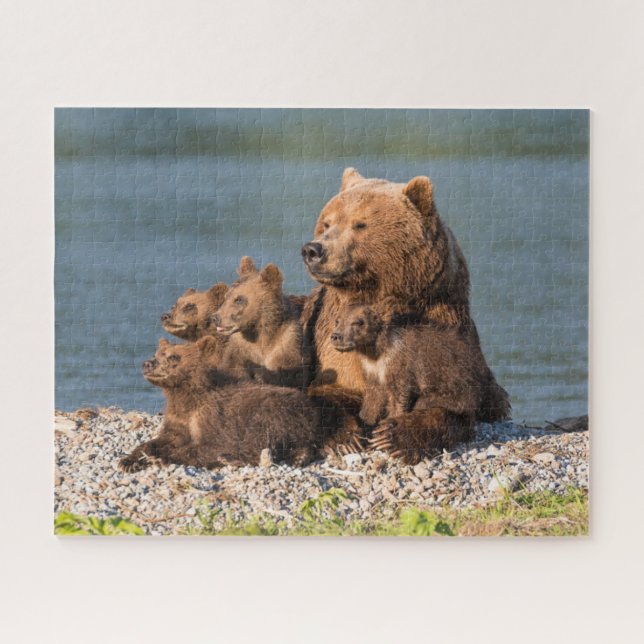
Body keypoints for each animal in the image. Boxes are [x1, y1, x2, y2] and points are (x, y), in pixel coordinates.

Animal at [118, 337, 319, 472]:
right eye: (157, 353)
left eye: (174, 357)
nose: (148, 363)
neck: (184, 395)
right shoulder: (178, 418)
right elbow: (163, 438)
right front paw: (129, 461)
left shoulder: (213, 416)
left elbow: (210, 445)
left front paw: (161, 457)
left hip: (275, 412)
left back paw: (230, 458)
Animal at [331, 300, 482, 463]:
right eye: (338, 320)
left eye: (358, 322)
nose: (336, 336)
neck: (377, 352)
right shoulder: (373, 372)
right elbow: (372, 400)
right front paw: (362, 428)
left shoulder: (403, 367)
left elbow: (399, 398)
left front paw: (383, 430)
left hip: (455, 390)